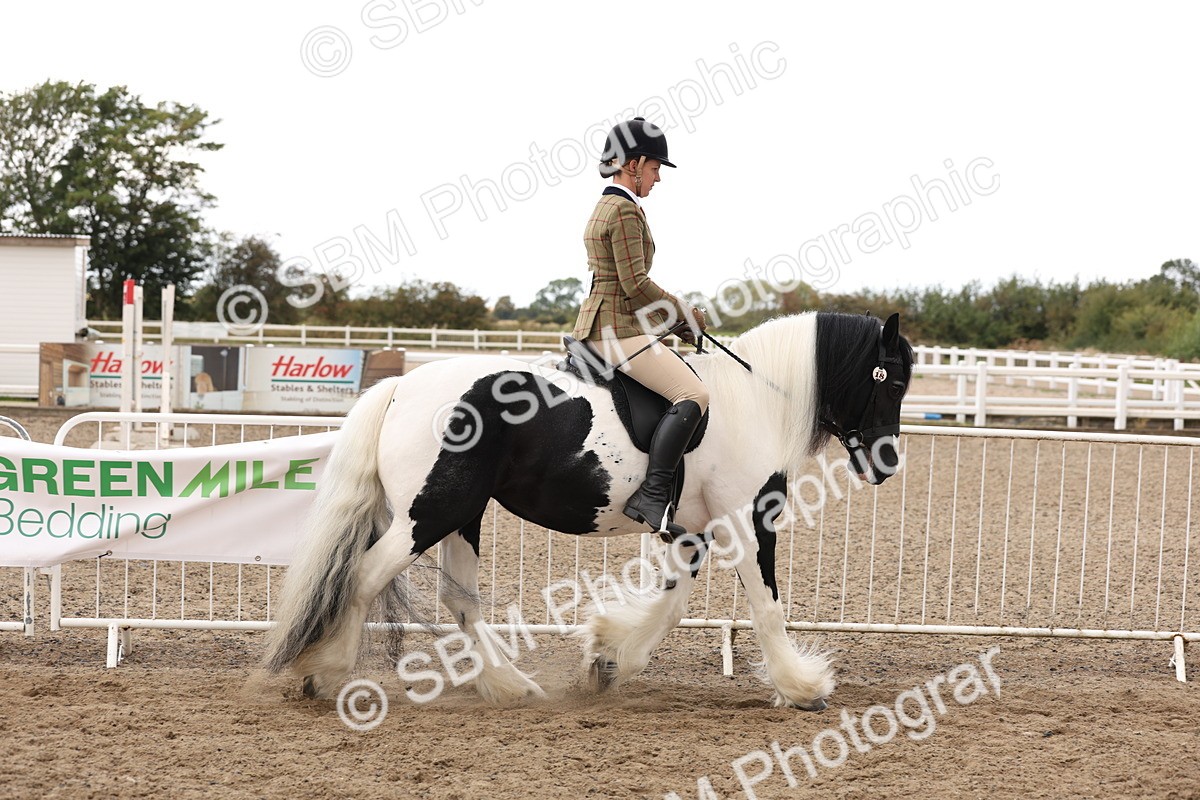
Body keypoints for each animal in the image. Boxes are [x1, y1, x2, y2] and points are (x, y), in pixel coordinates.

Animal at [264, 311, 914, 711]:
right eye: (890, 380)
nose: (886, 464)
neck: (755, 398)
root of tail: (400, 388)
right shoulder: (746, 520)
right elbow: (767, 606)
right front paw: (802, 687)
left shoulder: (691, 529)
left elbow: (672, 605)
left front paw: (609, 658)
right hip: (430, 514)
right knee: (364, 577)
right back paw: (324, 673)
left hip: (461, 515)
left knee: (459, 600)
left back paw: (510, 687)